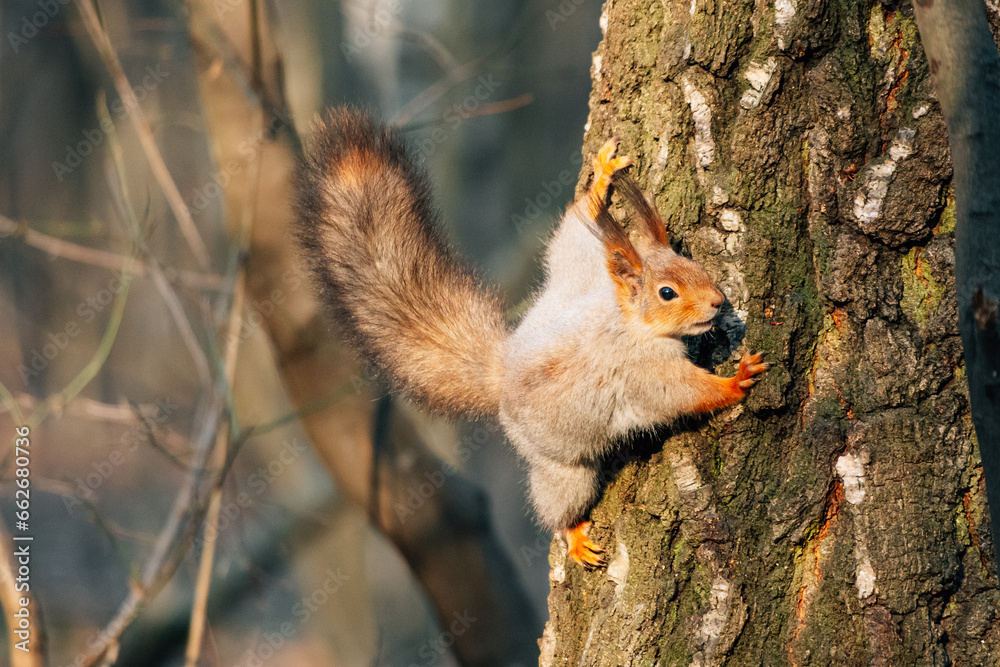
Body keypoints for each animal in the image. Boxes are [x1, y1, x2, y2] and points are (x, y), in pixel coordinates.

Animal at [294, 108, 769, 568]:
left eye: (695, 266)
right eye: (667, 293)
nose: (718, 302)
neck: (625, 320)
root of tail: (502, 376)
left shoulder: (587, 275)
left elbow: (575, 234)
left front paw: (600, 179)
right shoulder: (640, 370)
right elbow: (682, 394)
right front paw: (736, 381)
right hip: (560, 465)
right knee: (557, 502)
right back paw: (573, 535)